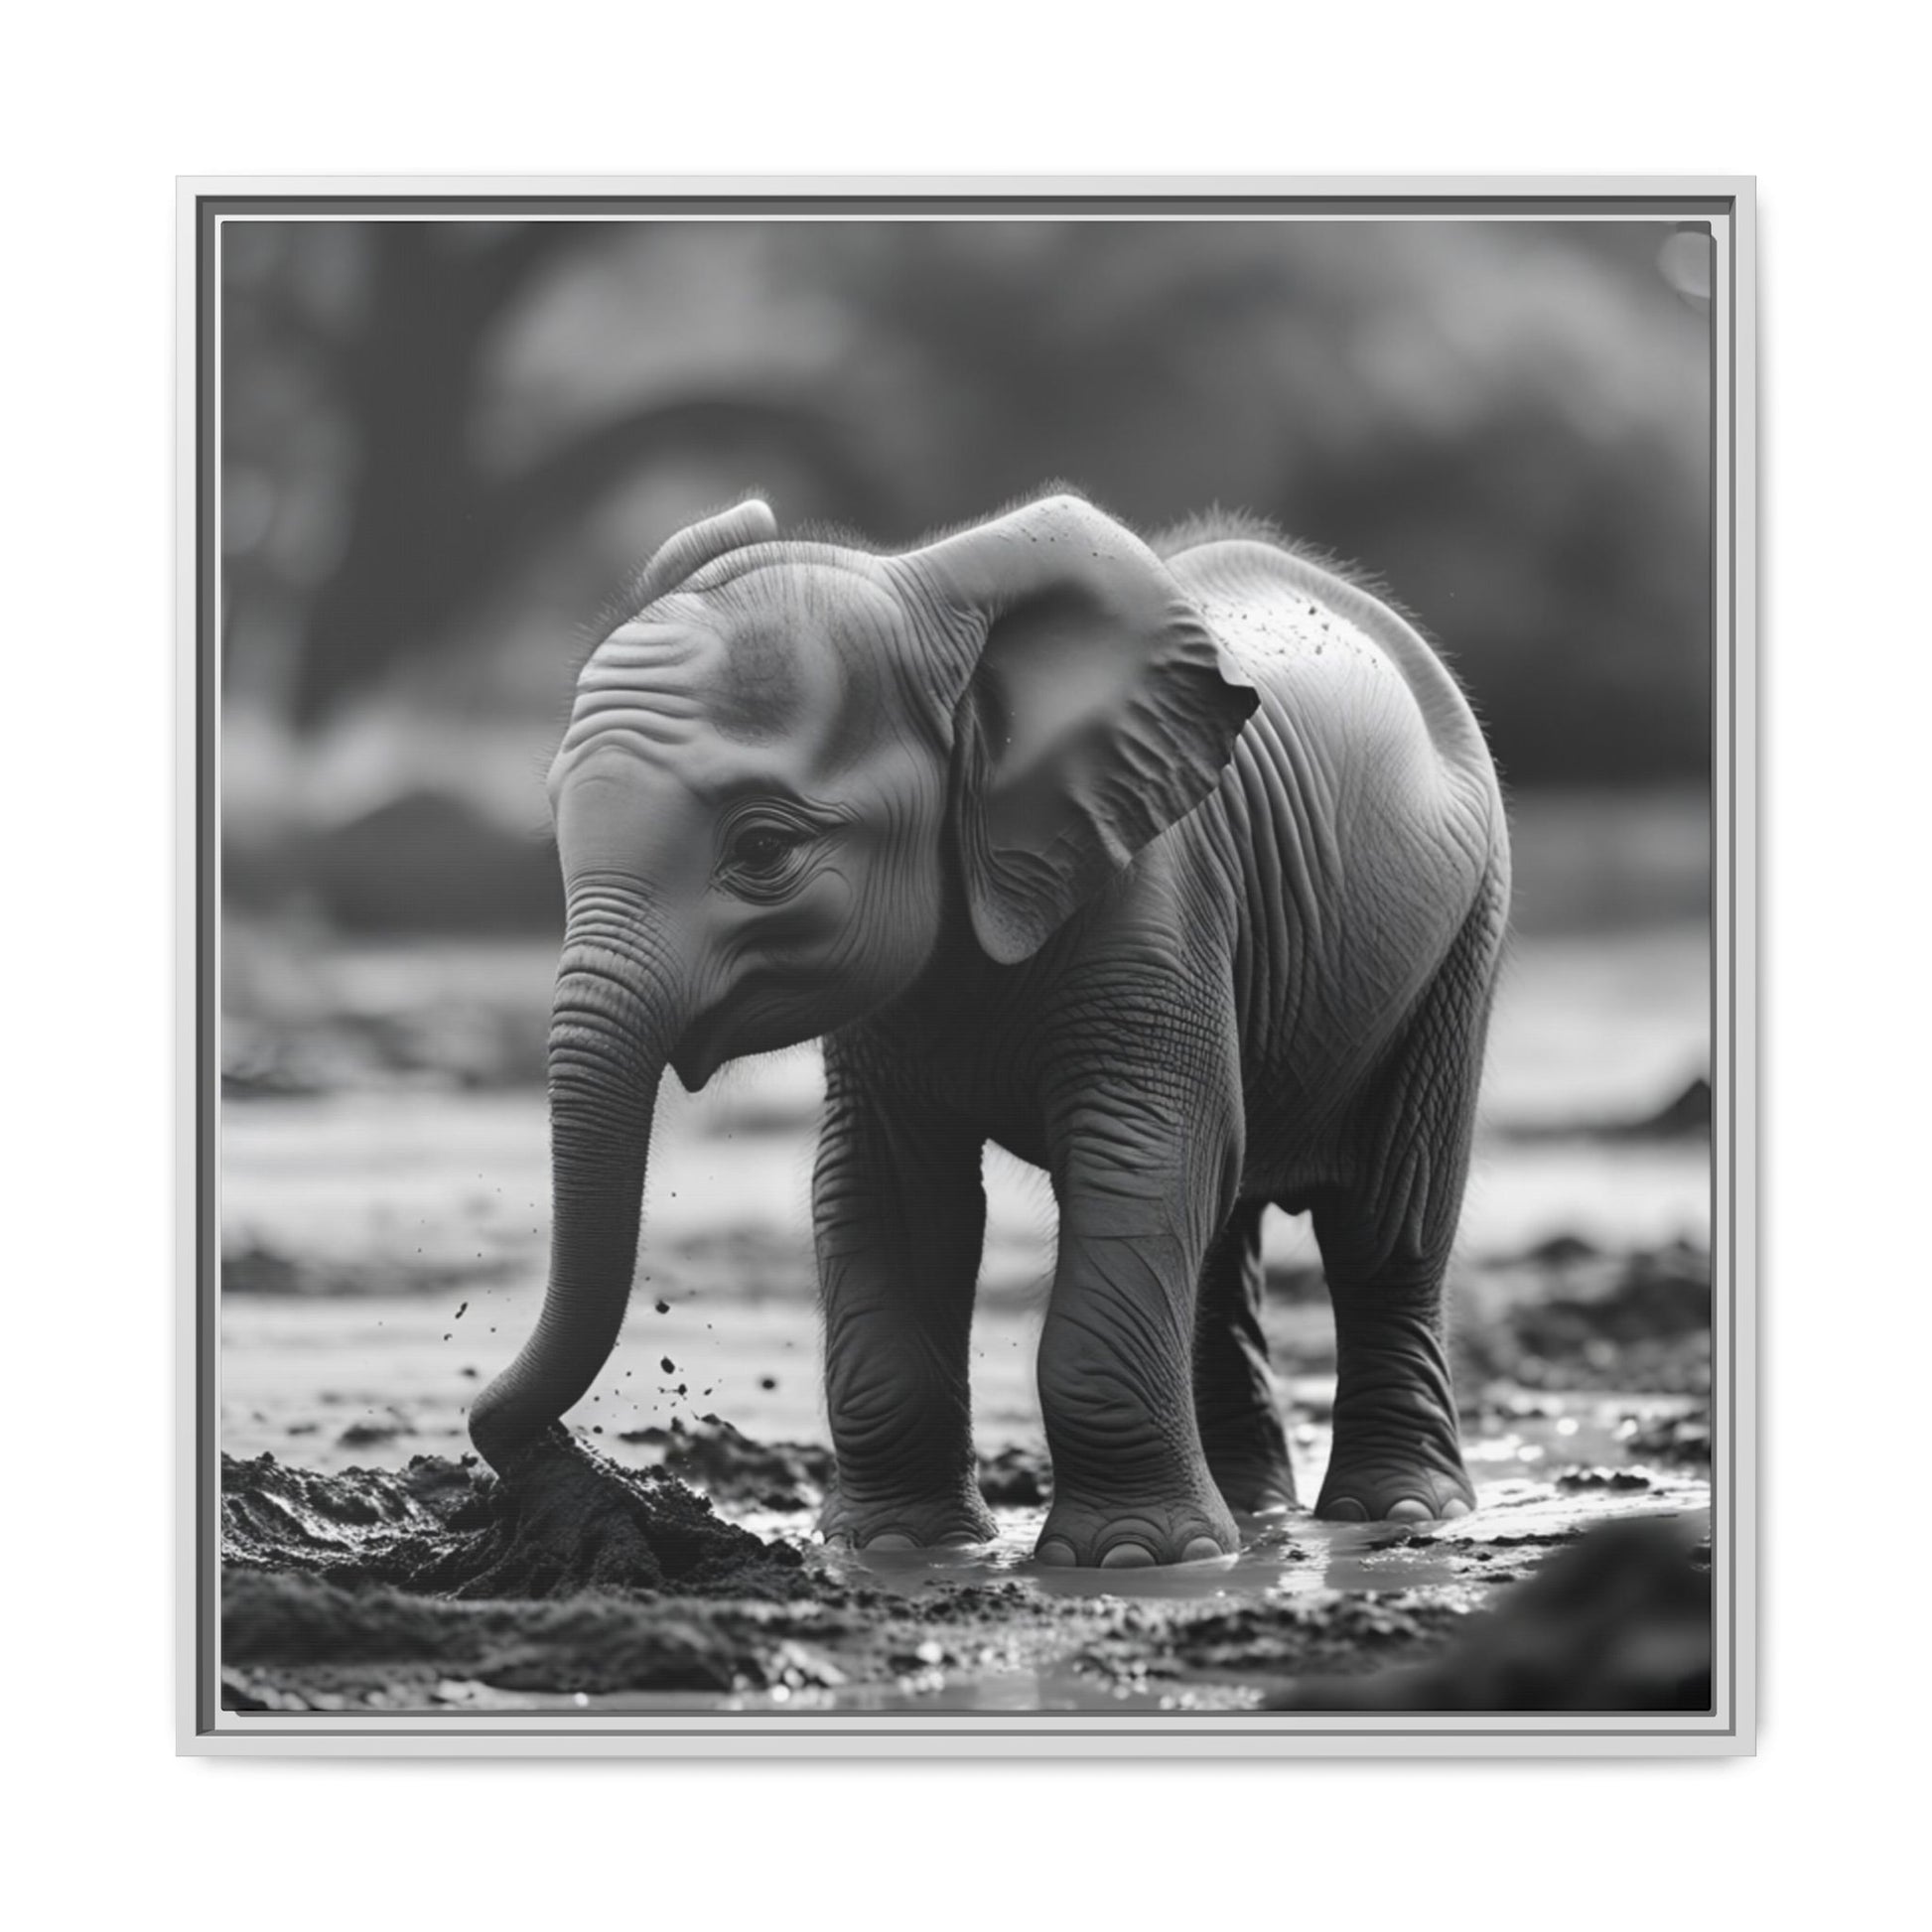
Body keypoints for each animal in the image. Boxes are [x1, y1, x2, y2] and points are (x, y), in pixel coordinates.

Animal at [468, 489, 1510, 1569]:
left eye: (761, 848)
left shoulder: (1157, 894)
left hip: (1462, 932)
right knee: (1225, 1233)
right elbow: (885, 1190)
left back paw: (1396, 1511)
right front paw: (895, 1548)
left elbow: (1141, 1155)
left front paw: (1129, 1559)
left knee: (1385, 1222)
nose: (557, 1463)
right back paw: (1253, 1515)